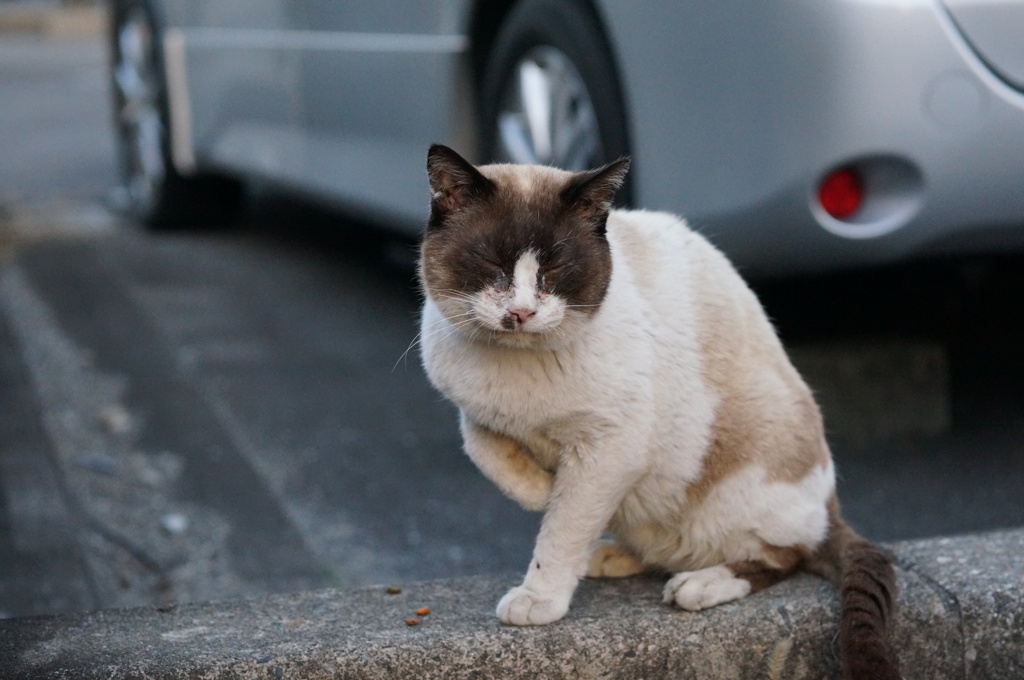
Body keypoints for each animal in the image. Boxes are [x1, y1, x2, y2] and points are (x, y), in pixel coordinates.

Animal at [415, 144, 897, 680]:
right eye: (490, 261)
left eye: (555, 269)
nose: (520, 313)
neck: (513, 369)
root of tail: (830, 504)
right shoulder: (476, 411)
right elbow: (485, 450)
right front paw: (540, 489)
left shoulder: (609, 449)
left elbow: (562, 528)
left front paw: (539, 596)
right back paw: (613, 556)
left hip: (742, 484)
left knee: (784, 556)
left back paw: (698, 584)